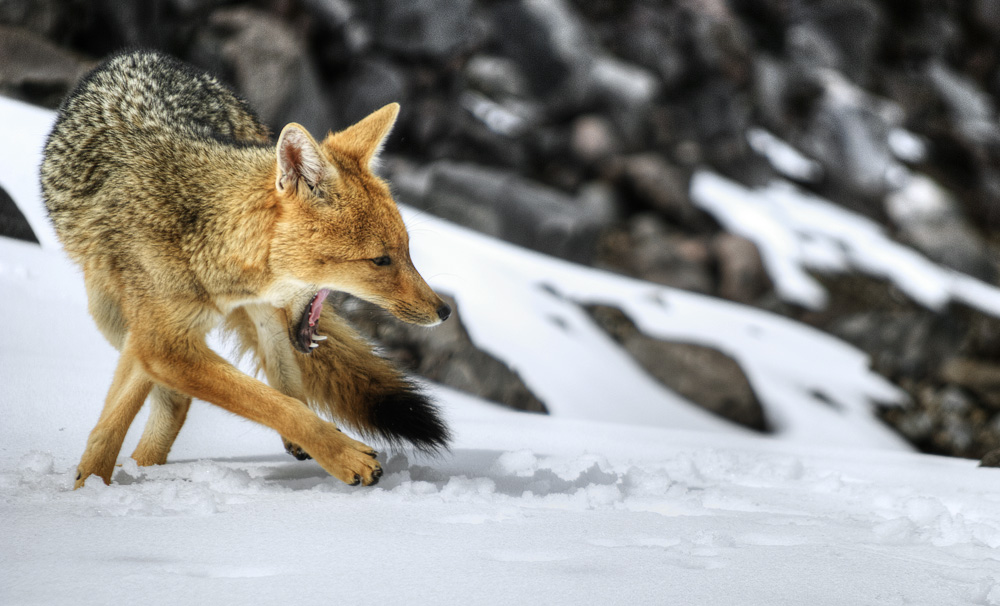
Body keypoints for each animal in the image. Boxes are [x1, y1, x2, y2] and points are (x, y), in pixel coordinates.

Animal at [40, 50, 452, 489]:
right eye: (381, 260)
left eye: (407, 252)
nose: (444, 311)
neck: (206, 241)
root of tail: (141, 55)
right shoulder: (164, 344)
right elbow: (272, 404)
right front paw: (343, 455)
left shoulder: (169, 342)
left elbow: (277, 398)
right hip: (110, 314)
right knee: (166, 398)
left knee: (193, 393)